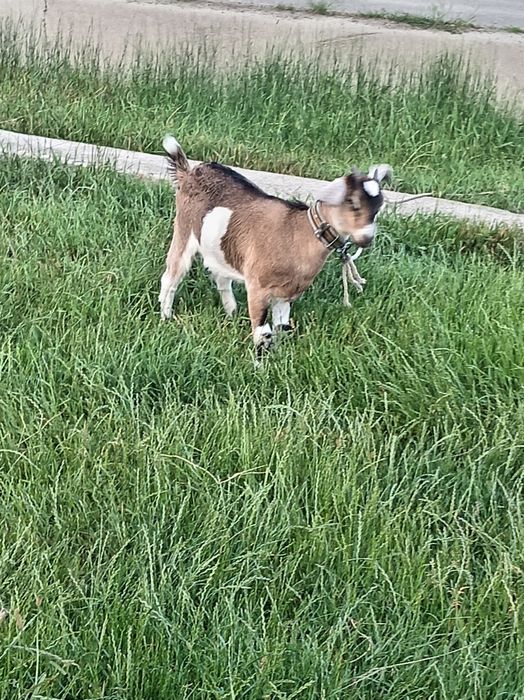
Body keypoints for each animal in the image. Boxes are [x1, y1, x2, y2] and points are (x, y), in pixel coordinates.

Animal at [159, 135, 391, 353]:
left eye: (379, 207)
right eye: (352, 202)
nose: (367, 238)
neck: (296, 234)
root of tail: (190, 171)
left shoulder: (286, 294)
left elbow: (281, 328)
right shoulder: (258, 287)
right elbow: (263, 333)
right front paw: (259, 365)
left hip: (219, 247)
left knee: (221, 276)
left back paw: (231, 313)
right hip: (184, 228)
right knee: (172, 274)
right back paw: (166, 316)